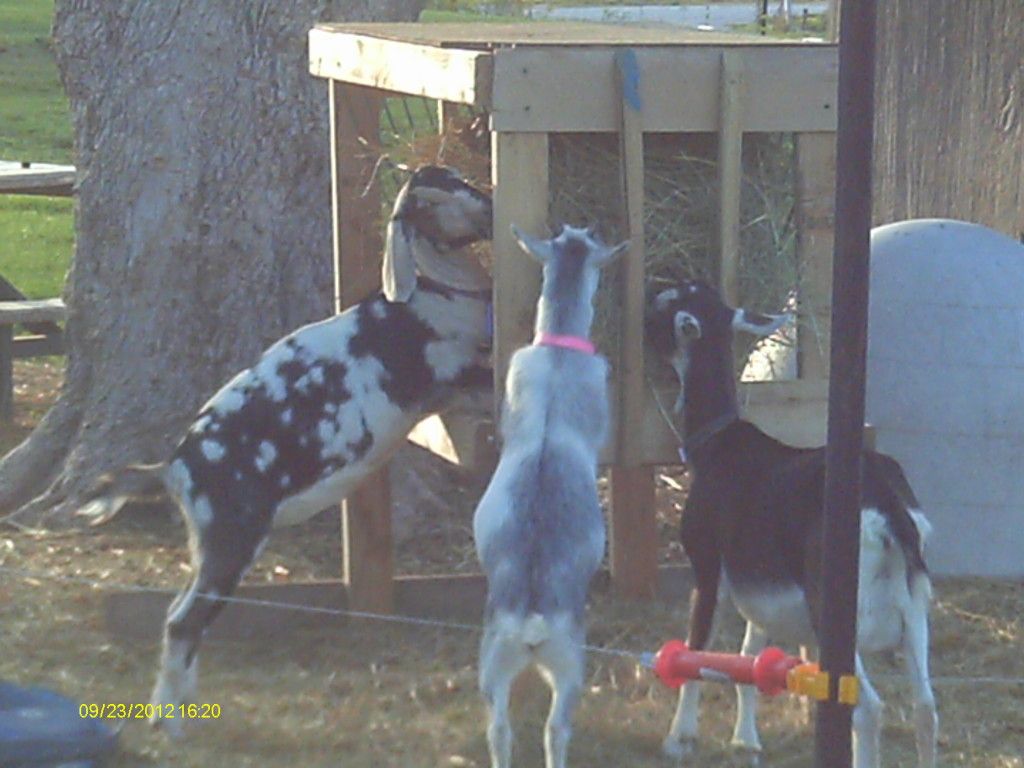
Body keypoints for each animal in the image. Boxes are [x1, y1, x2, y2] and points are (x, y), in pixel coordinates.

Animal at [78, 165, 493, 736]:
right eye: (447, 194)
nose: (492, 207)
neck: (429, 294)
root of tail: (173, 468)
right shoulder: (454, 373)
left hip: (207, 543)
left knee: (181, 612)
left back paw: (181, 708)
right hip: (232, 538)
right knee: (183, 620)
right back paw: (172, 723)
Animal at [474, 225, 626, 768]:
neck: (559, 350)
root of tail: (533, 623)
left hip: (492, 659)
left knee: (499, 728)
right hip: (570, 661)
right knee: (556, 727)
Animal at [645, 280, 936, 768]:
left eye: (669, 303)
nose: (645, 304)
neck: (719, 445)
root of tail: (887, 509)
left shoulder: (707, 565)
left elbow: (696, 648)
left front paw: (678, 738)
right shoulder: (760, 585)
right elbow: (748, 656)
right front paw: (745, 740)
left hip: (837, 616)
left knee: (868, 707)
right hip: (914, 610)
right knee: (925, 708)